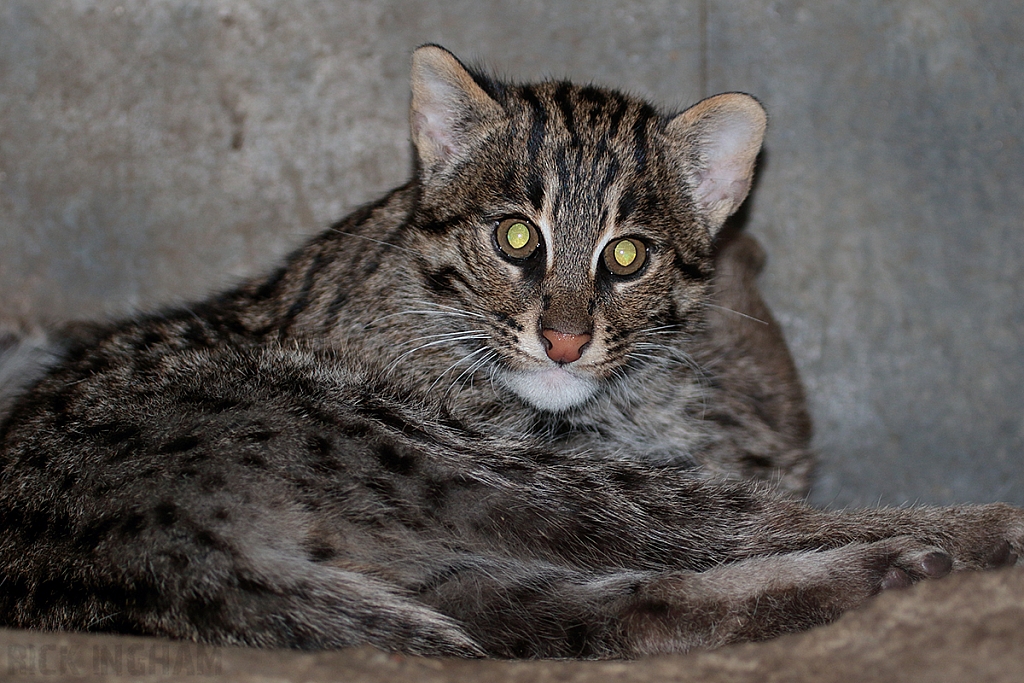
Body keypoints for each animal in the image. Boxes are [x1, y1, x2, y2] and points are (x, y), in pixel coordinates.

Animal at [0, 46, 1019, 655]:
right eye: (516, 239)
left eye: (627, 256)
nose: (565, 339)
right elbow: (742, 508)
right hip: (436, 453)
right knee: (704, 535)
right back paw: (946, 541)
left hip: (445, 552)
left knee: (606, 610)